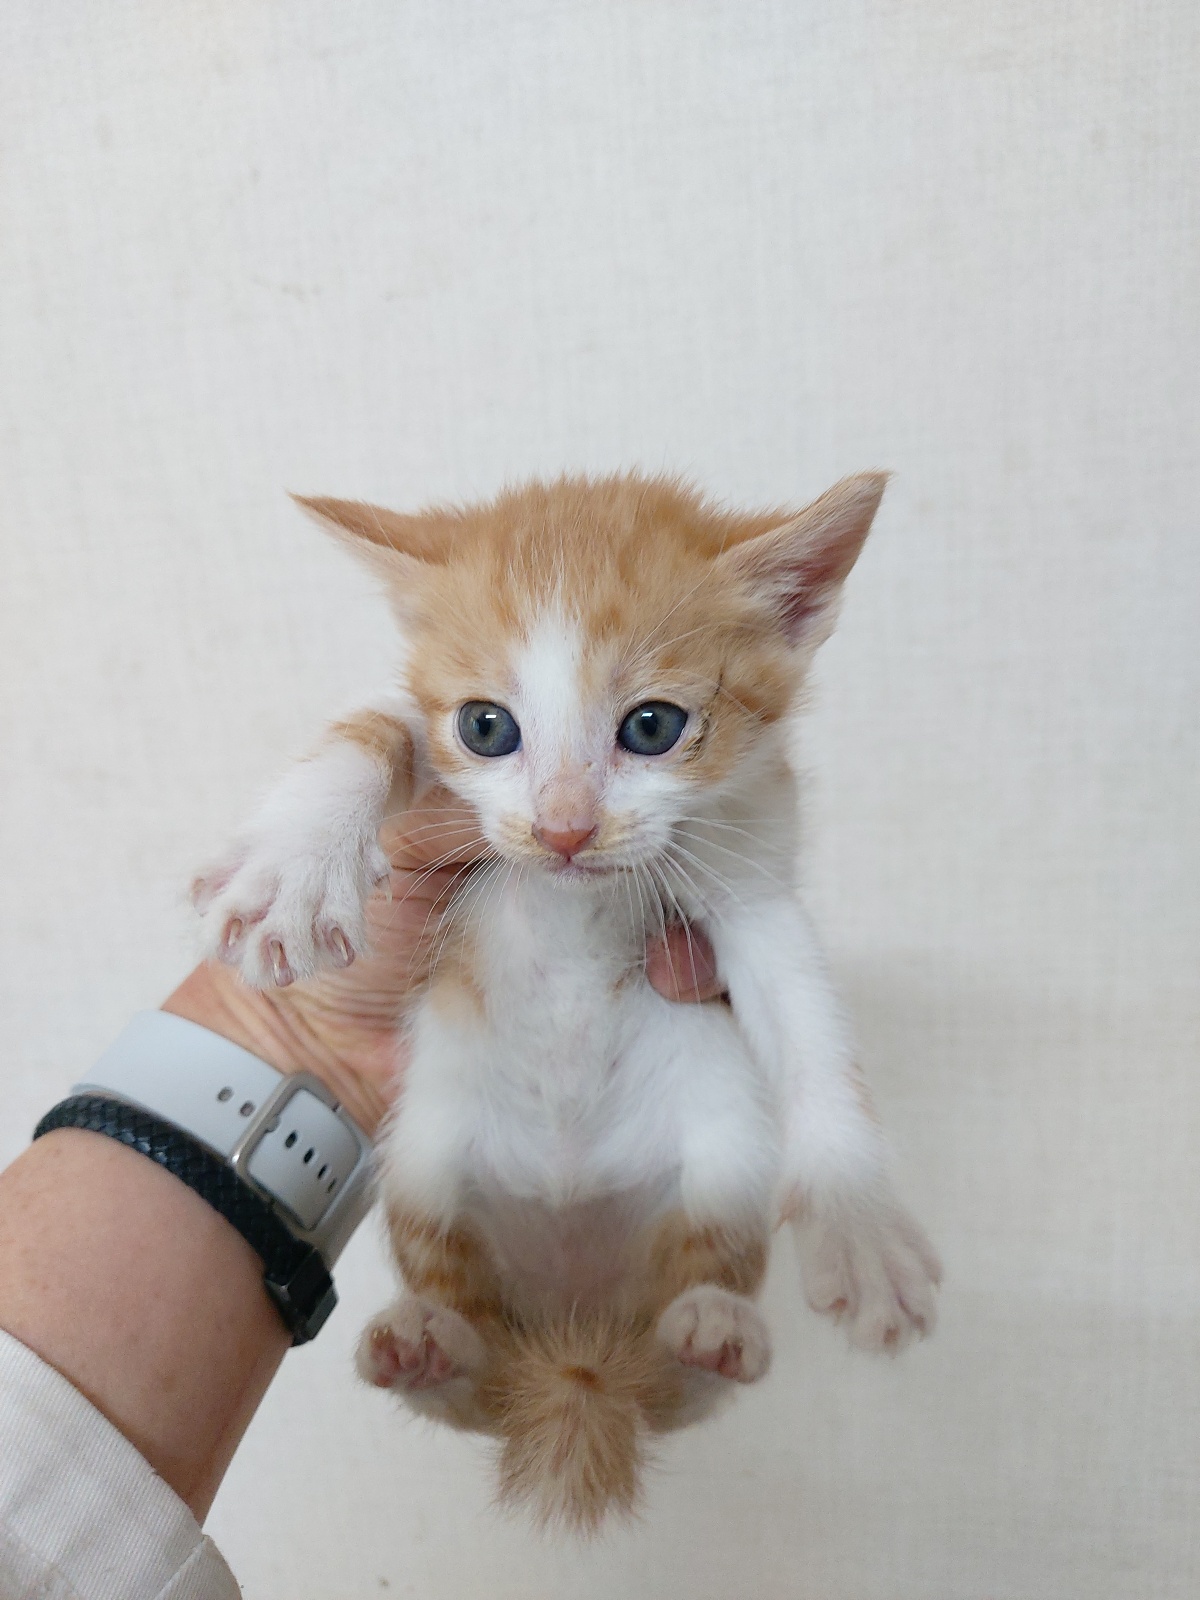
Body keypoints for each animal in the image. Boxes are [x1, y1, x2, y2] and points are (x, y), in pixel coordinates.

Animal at [195, 470, 940, 1523]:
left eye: (653, 727)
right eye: (486, 727)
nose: (563, 829)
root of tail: (574, 1346)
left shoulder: (752, 869)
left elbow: (811, 1024)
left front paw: (861, 1223)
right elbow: (374, 723)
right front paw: (291, 865)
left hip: (719, 1160)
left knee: (670, 1383)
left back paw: (711, 1331)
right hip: (425, 1164)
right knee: (482, 1382)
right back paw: (435, 1346)